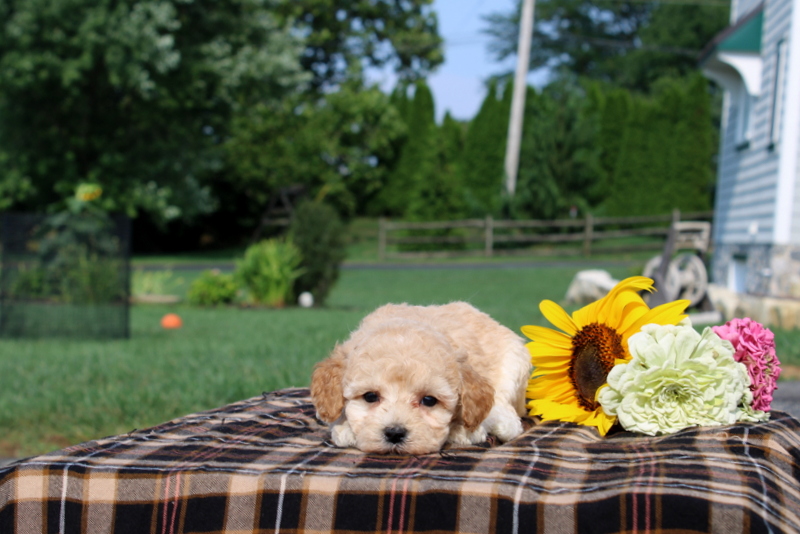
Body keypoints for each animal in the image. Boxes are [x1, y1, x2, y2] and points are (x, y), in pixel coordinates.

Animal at [310, 304, 532, 454]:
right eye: (370, 396)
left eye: (429, 400)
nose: (394, 433)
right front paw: (346, 428)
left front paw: (463, 430)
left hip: (514, 364)